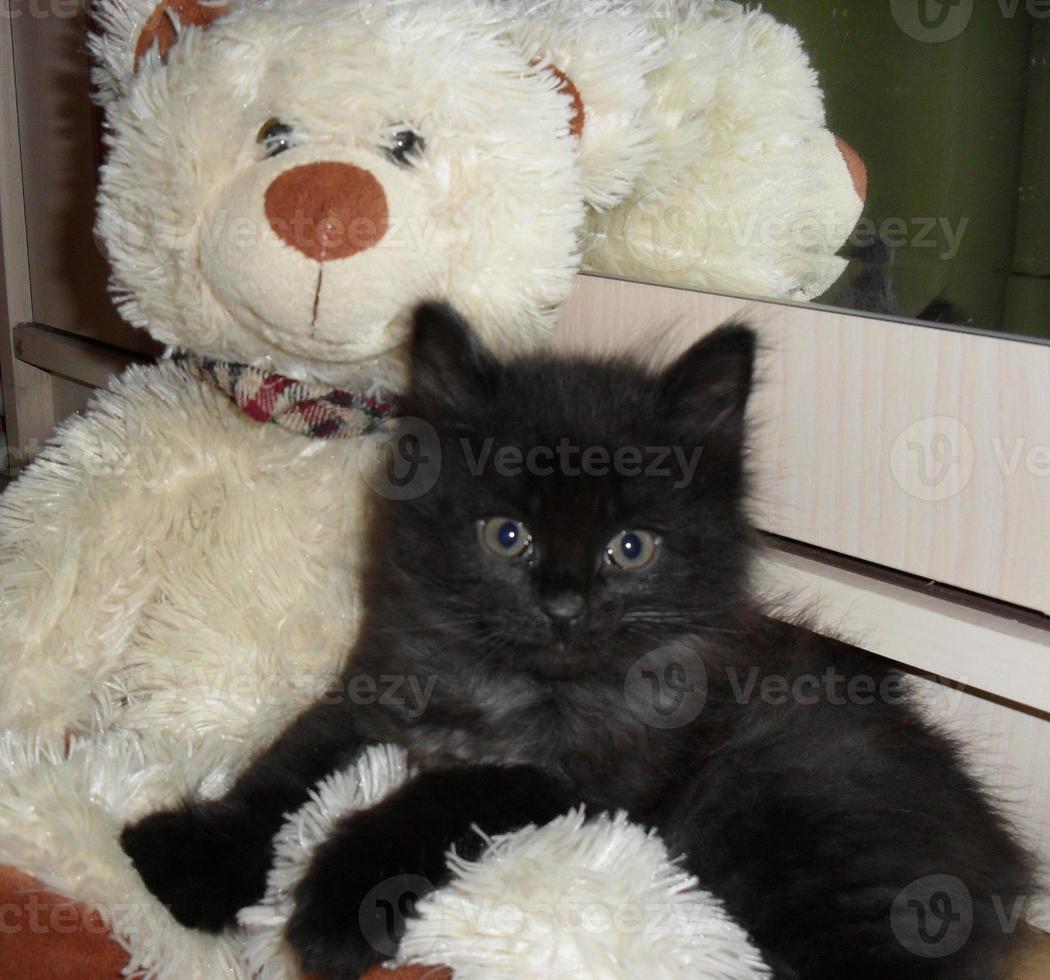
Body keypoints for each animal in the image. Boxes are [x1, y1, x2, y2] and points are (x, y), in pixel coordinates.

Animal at [122, 302, 1033, 974]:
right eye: (507, 536)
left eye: (630, 548)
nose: (563, 605)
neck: (514, 690)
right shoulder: (373, 689)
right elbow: (280, 769)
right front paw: (190, 861)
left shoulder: (580, 778)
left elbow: (435, 798)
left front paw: (335, 908)